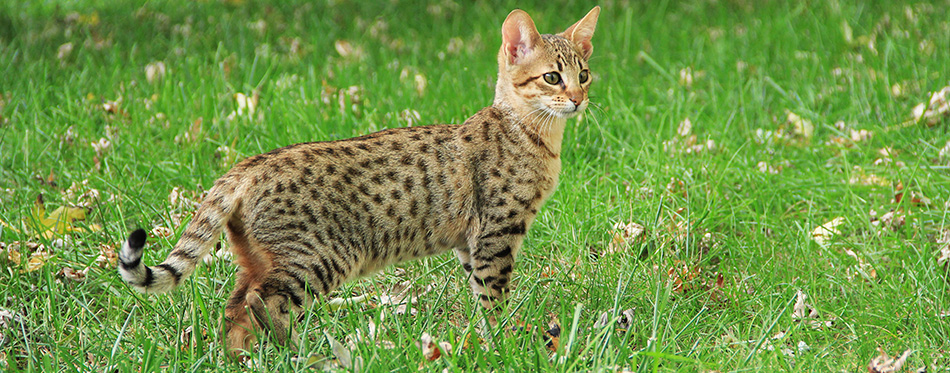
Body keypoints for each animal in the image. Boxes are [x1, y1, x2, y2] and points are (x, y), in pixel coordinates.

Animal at [119, 5, 604, 354]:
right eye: (552, 77)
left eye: (584, 74)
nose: (578, 99)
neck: (533, 134)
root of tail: (250, 164)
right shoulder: (495, 233)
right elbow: (493, 295)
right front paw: (505, 341)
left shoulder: (471, 242)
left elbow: (479, 290)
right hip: (316, 258)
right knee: (260, 303)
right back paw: (296, 352)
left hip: (262, 259)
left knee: (235, 307)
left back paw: (243, 357)